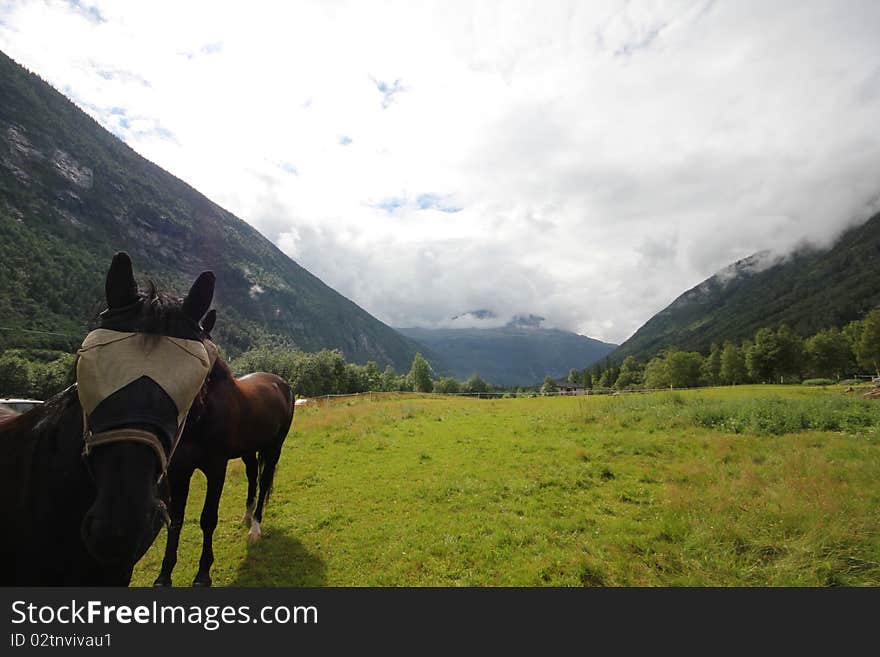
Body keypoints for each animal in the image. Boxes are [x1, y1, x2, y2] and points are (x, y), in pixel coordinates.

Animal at [153, 310, 294, 588]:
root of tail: (281, 383)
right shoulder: (179, 471)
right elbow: (176, 519)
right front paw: (164, 575)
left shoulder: (216, 469)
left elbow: (208, 519)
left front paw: (202, 575)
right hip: (250, 451)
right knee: (252, 478)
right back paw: (246, 516)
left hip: (274, 449)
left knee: (263, 483)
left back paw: (255, 528)